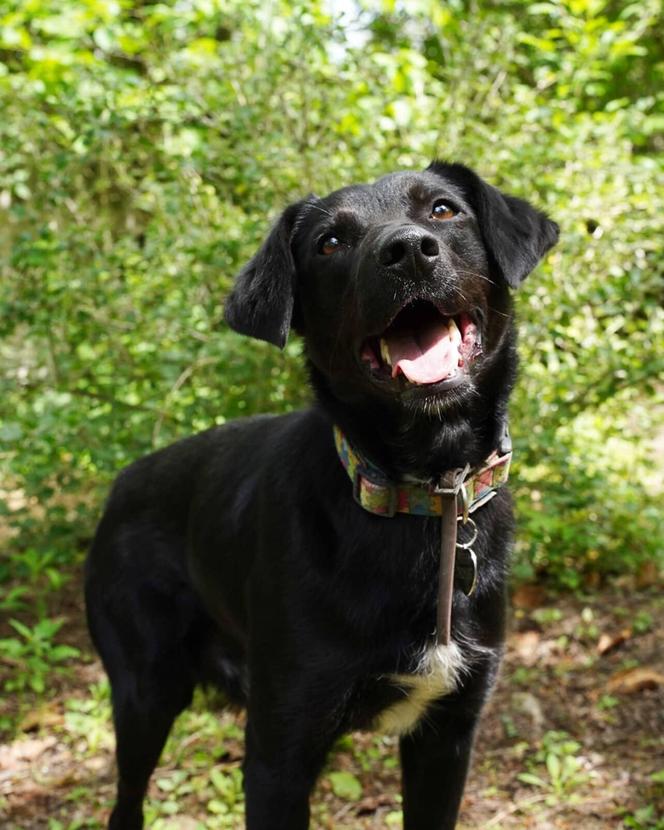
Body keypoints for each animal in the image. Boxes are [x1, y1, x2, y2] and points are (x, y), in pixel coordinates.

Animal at [85, 164, 556, 830]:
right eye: (330, 243)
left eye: (443, 210)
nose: (408, 250)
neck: (424, 495)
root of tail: (122, 483)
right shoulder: (279, 754)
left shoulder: (447, 736)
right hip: (145, 693)